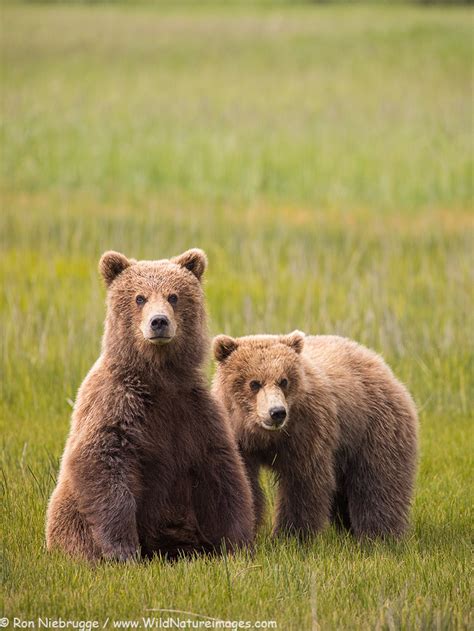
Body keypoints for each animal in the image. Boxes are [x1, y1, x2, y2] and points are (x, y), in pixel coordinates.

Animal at [45, 249, 256, 560]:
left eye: (174, 296)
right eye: (139, 297)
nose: (158, 322)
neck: (159, 378)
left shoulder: (194, 411)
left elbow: (222, 474)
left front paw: (237, 543)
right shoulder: (116, 405)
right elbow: (102, 461)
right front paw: (122, 550)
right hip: (70, 514)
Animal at [213, 334, 416, 540]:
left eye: (284, 381)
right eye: (254, 383)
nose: (277, 412)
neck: (263, 436)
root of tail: (379, 362)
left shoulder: (307, 430)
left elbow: (304, 482)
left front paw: (290, 535)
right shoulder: (235, 437)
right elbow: (241, 481)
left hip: (374, 428)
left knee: (378, 483)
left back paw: (379, 535)